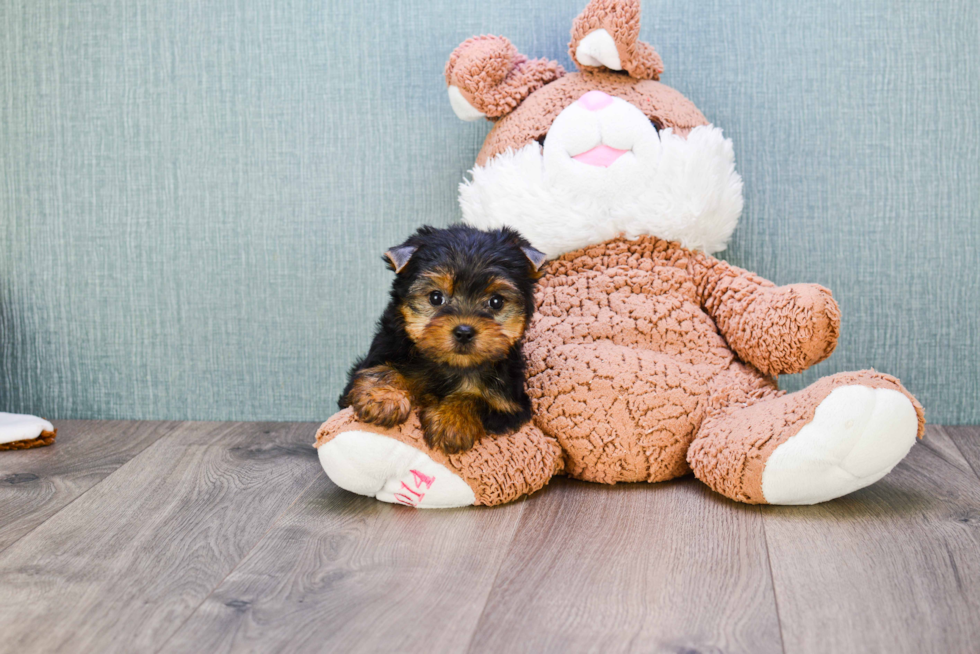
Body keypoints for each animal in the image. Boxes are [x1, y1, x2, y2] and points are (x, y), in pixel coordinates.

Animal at [340, 226, 548, 456]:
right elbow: (383, 370)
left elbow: (476, 399)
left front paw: (452, 421)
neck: (451, 366)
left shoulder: (510, 406)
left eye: (496, 302)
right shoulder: (382, 352)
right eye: (435, 297)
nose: (464, 332)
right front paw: (385, 397)